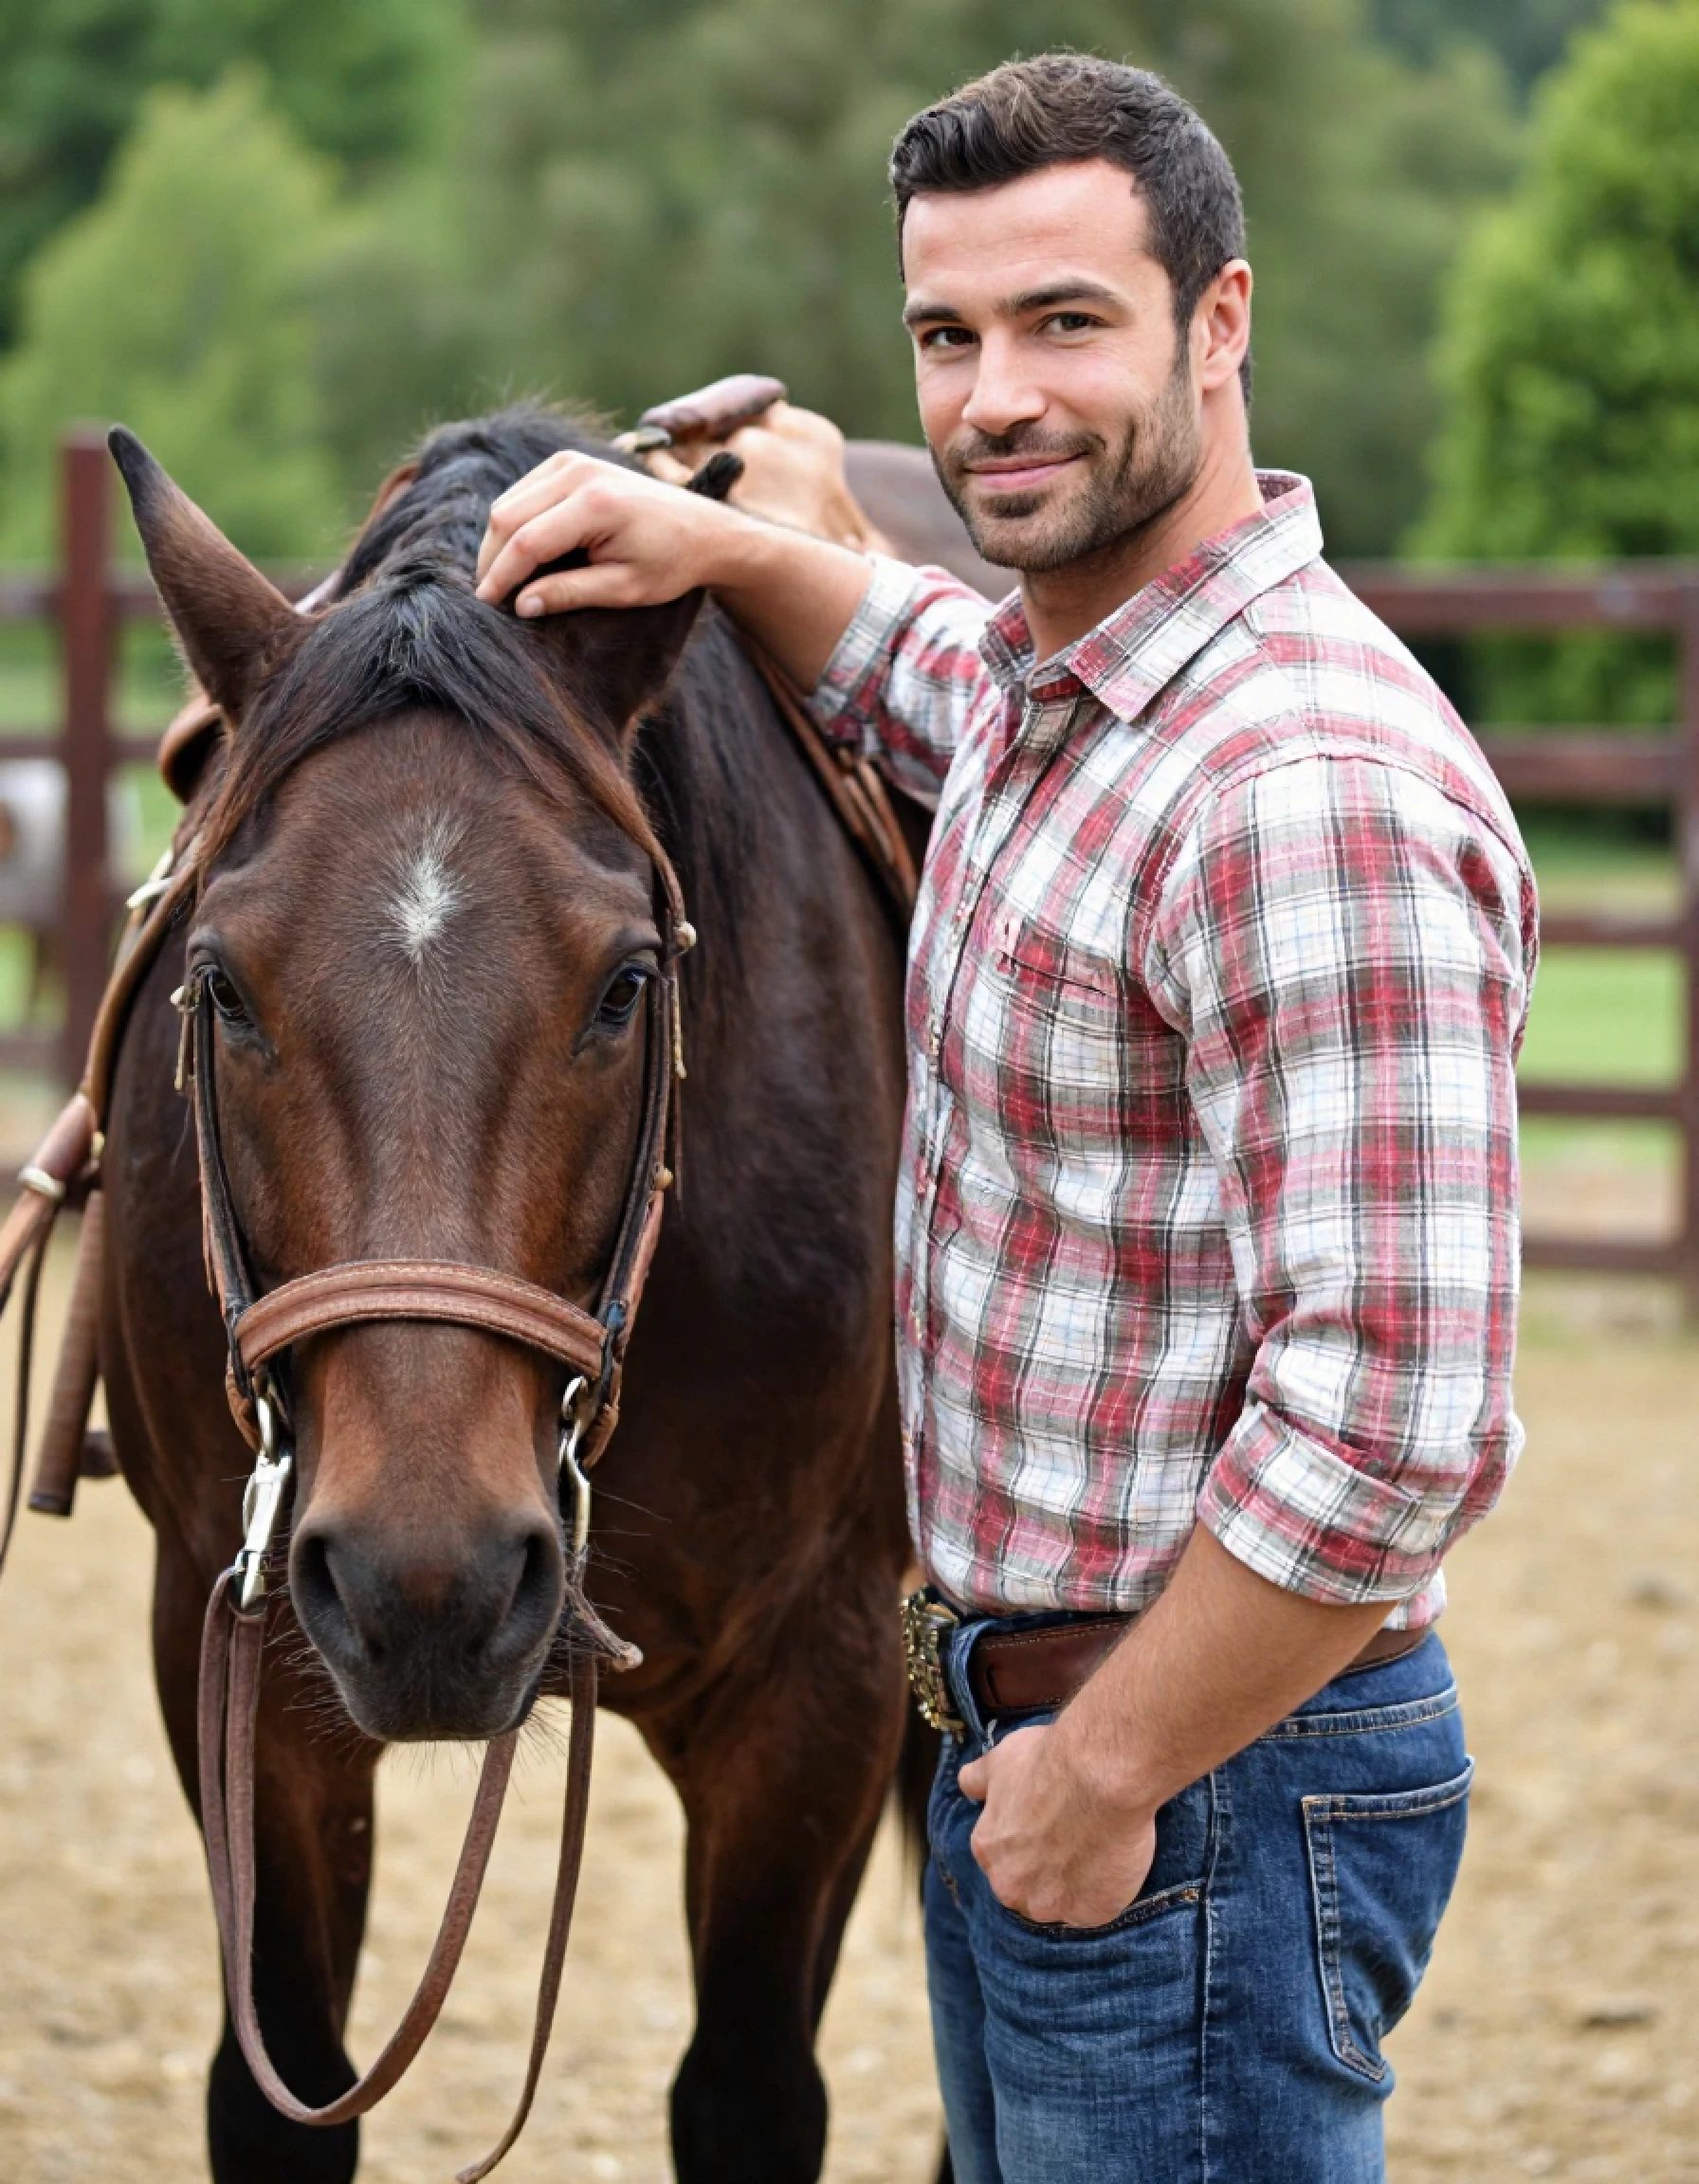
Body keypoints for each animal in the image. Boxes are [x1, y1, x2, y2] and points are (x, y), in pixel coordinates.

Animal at [102, 412, 925, 2184]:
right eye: (219, 982)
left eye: (626, 982)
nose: (433, 1580)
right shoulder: (233, 1631)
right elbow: (282, 2085)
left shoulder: (819, 1681)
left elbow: (750, 2092)